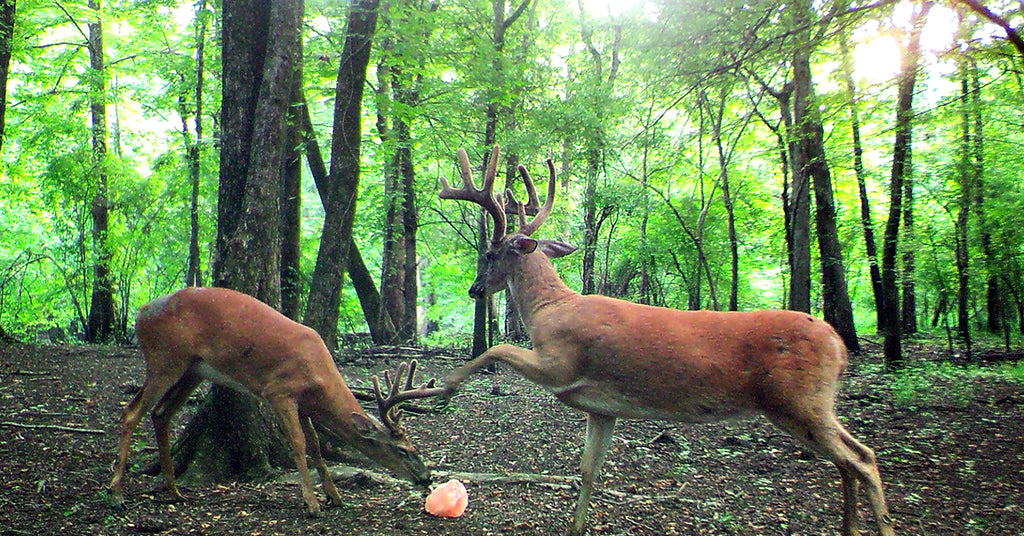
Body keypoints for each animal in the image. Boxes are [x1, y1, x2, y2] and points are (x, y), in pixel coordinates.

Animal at [108, 284, 444, 516]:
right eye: (403, 450)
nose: (425, 477)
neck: (318, 378)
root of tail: (141, 312)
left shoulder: (305, 404)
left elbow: (317, 447)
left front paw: (334, 496)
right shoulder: (279, 392)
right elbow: (298, 443)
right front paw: (312, 503)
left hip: (193, 370)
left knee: (161, 413)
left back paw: (174, 489)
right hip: (165, 359)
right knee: (131, 412)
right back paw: (117, 494)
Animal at [440, 145, 897, 536]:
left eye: (489, 254)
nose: (474, 290)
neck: (549, 309)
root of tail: (839, 344)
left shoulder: (559, 363)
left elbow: (496, 348)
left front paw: (445, 386)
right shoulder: (602, 408)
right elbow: (588, 470)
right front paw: (576, 526)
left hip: (797, 401)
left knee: (863, 459)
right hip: (809, 406)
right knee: (851, 460)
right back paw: (850, 527)